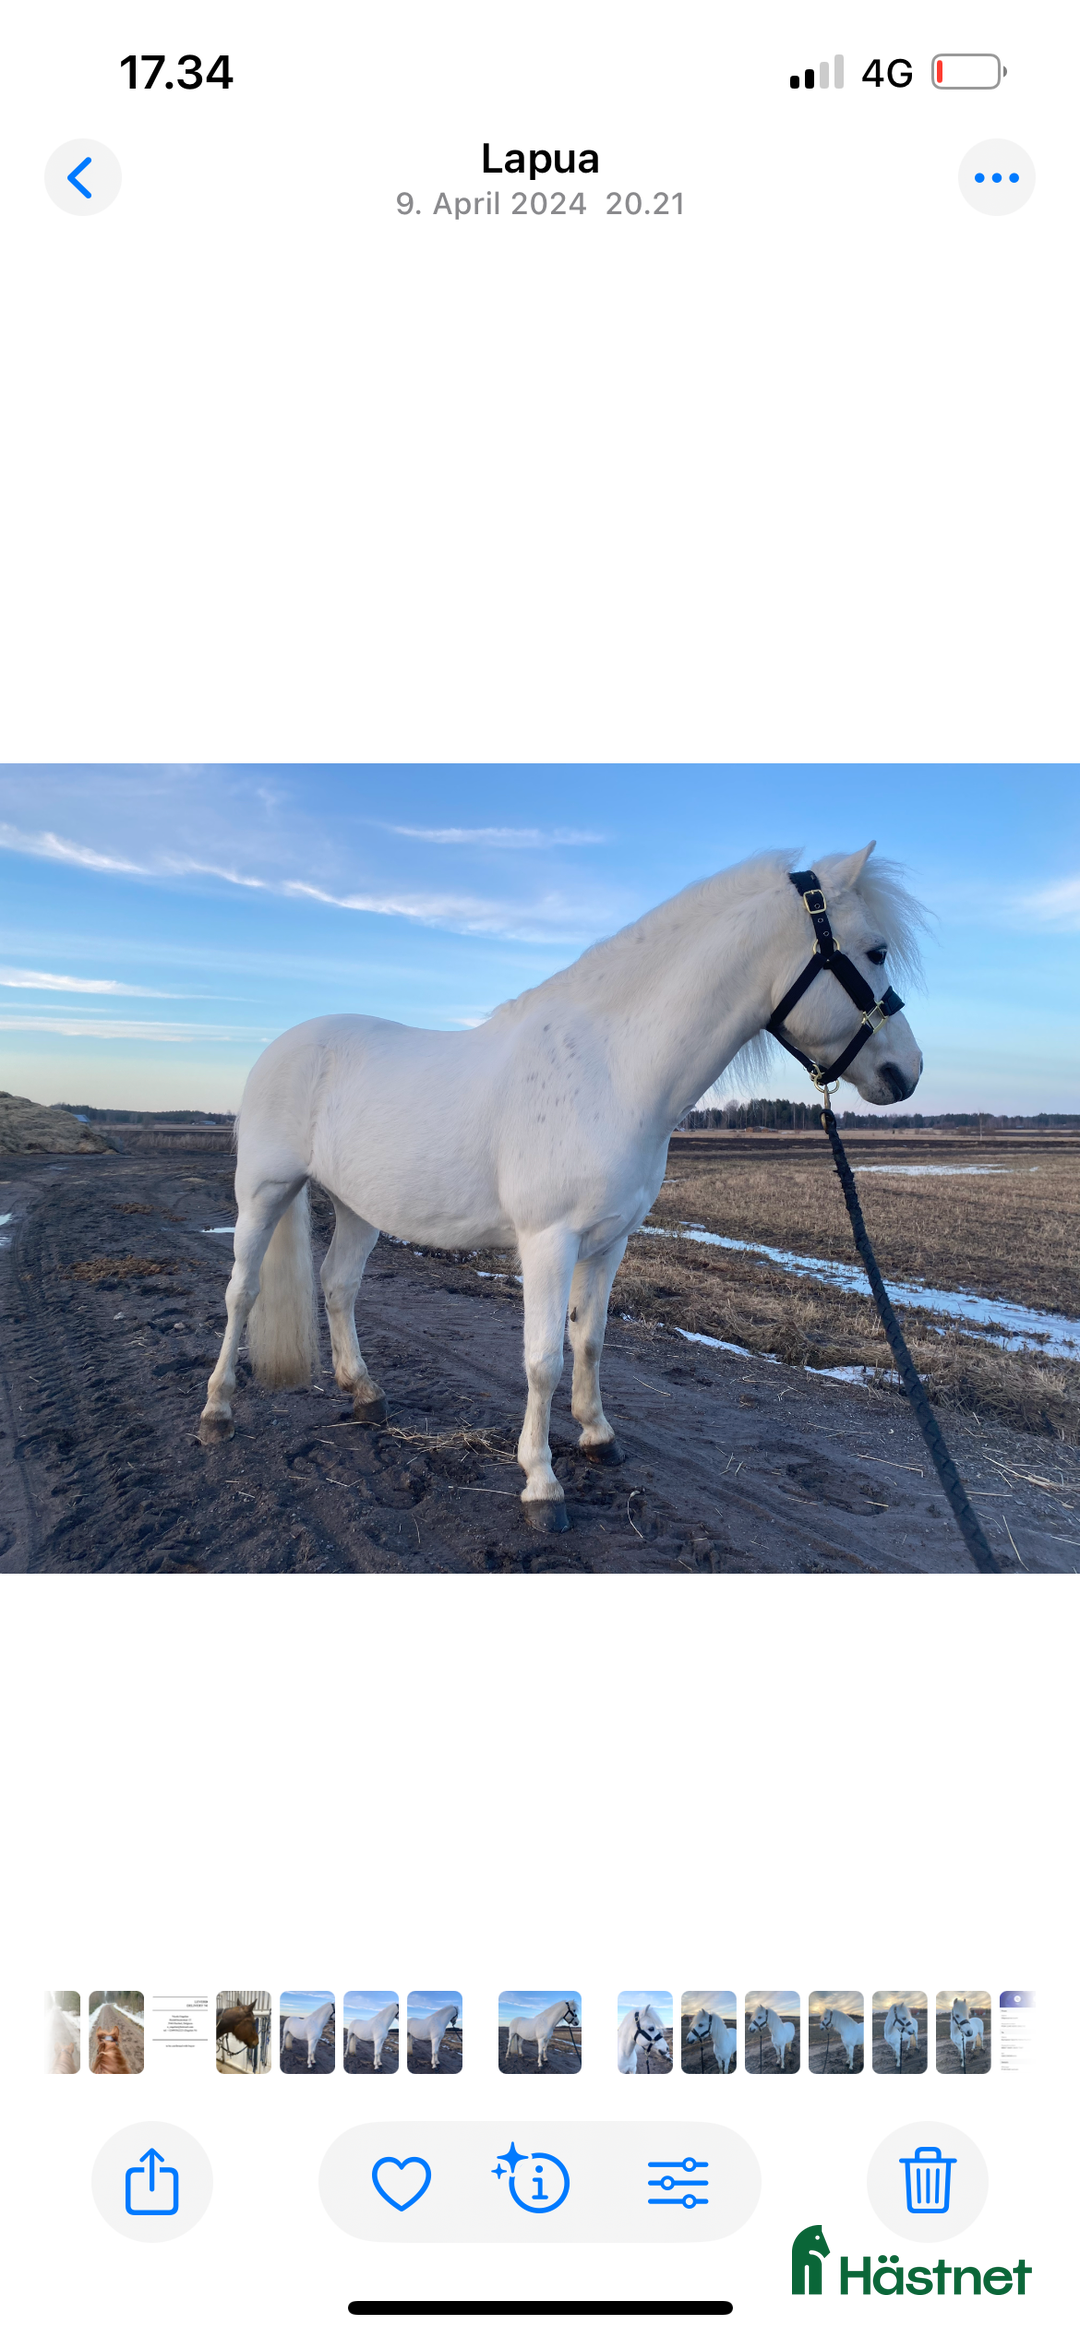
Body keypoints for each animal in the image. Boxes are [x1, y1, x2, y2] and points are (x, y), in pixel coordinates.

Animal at [196, 846, 924, 1527]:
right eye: (875, 950)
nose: (907, 1072)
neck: (613, 1068)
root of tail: (282, 1047)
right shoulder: (549, 1242)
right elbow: (543, 1357)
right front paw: (541, 1483)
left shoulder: (608, 1241)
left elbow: (590, 1339)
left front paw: (599, 1437)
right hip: (264, 1192)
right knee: (242, 1292)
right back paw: (217, 1410)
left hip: (356, 1206)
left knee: (339, 1284)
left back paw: (365, 1394)